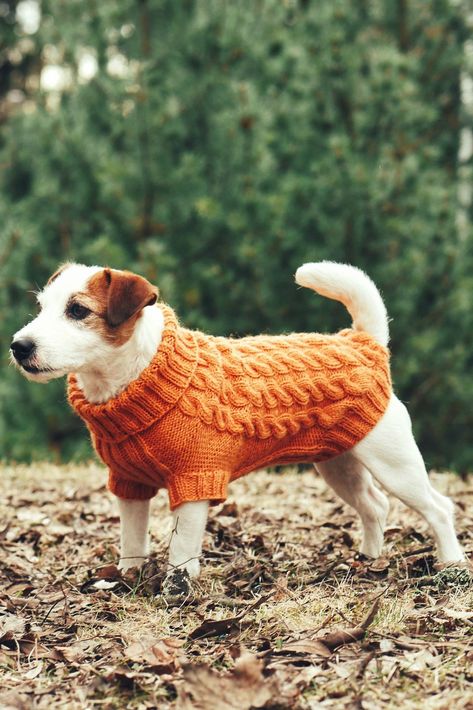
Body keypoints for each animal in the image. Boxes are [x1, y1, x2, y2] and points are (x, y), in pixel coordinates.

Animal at [10, 262, 464, 596]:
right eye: (42, 306)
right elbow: (132, 543)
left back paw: (452, 562)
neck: (141, 373)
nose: (19, 346)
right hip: (339, 465)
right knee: (374, 506)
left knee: (438, 508)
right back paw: (368, 559)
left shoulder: (196, 480)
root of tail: (365, 343)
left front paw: (177, 591)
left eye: (78, 310)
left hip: (394, 464)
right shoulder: (130, 485)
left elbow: (182, 547)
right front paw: (128, 579)